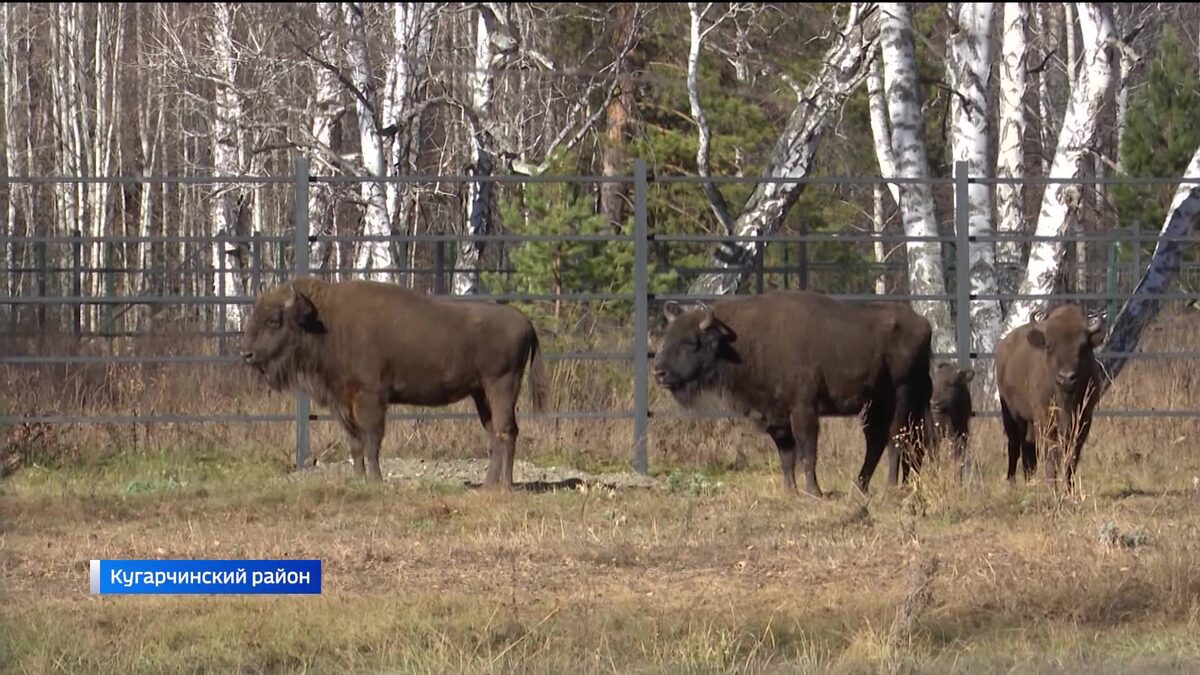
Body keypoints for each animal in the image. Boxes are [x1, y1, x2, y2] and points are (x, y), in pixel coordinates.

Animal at [240, 276, 549, 485]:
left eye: (274, 319)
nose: (247, 353)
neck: (325, 322)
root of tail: (525, 322)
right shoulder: (343, 403)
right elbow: (355, 443)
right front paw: (358, 479)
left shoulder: (371, 399)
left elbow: (371, 441)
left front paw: (376, 480)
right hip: (480, 393)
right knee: (494, 433)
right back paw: (487, 486)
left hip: (502, 386)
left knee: (507, 431)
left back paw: (505, 487)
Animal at [652, 289, 931, 494]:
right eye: (667, 338)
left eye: (691, 343)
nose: (659, 373)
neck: (742, 342)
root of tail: (924, 323)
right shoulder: (775, 417)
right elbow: (786, 455)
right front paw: (790, 491)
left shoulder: (803, 410)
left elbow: (807, 451)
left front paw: (813, 491)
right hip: (873, 405)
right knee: (878, 442)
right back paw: (860, 487)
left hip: (899, 397)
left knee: (895, 439)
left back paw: (890, 487)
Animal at [993, 302, 1104, 485]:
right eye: (1049, 346)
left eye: (1082, 347)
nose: (1066, 378)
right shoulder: (1045, 420)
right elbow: (1051, 457)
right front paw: (1053, 486)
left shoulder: (1084, 420)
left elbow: (1072, 457)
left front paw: (1068, 487)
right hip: (1012, 415)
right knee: (1014, 445)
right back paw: (1012, 482)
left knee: (1028, 448)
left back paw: (1029, 480)